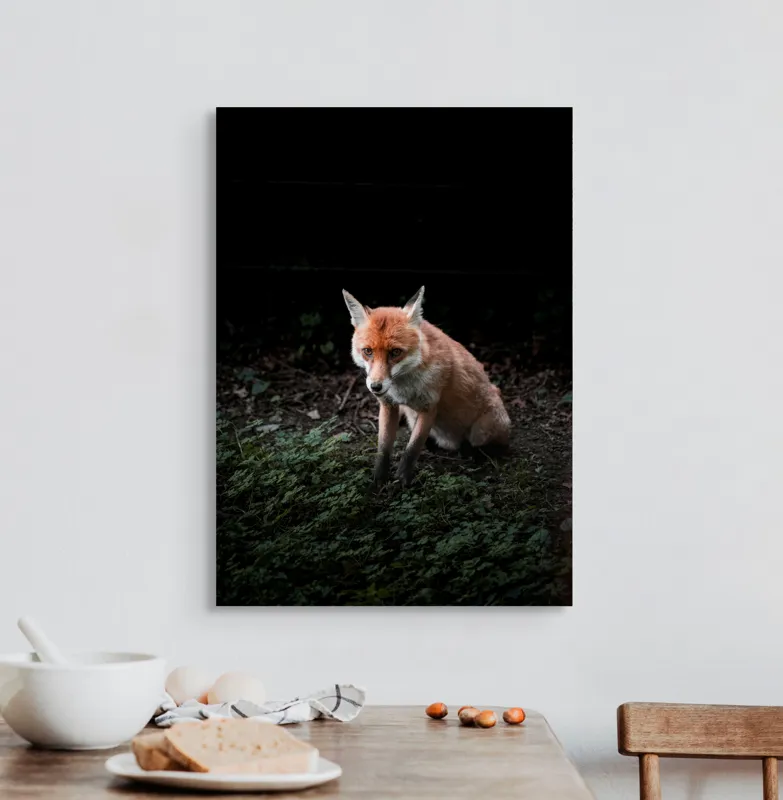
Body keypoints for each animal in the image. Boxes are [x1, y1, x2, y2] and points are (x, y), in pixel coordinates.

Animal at [341, 285, 511, 487]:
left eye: (395, 352)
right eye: (367, 351)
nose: (376, 386)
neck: (403, 387)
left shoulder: (429, 407)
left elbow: (412, 449)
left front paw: (403, 480)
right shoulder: (388, 405)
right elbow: (383, 447)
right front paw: (379, 478)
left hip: (483, 429)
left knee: (489, 445)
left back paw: (473, 453)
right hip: (411, 417)